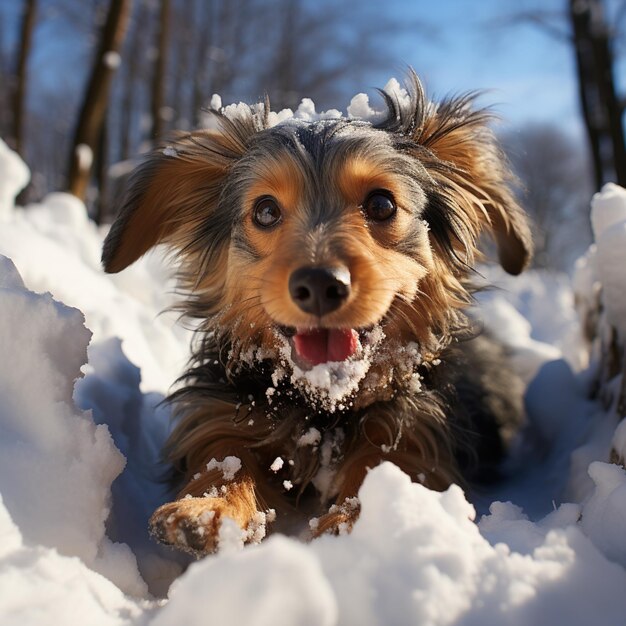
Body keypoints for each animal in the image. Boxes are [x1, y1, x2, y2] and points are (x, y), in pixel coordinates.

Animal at [100, 70, 528, 552]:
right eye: (266, 210)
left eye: (382, 204)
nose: (320, 285)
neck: (323, 406)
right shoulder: (222, 414)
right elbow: (224, 454)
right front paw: (209, 509)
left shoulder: (414, 435)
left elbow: (382, 471)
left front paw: (351, 526)